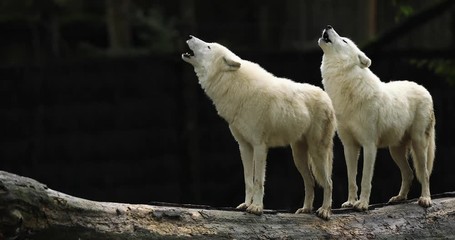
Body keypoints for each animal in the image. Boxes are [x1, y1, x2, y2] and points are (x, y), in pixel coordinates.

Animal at [183, 35, 336, 219]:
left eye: (208, 47)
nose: (190, 36)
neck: (236, 88)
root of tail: (327, 98)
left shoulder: (259, 146)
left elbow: (258, 181)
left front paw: (256, 208)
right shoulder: (244, 146)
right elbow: (248, 179)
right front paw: (246, 205)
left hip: (317, 152)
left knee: (328, 182)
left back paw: (325, 211)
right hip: (298, 156)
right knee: (310, 181)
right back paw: (306, 209)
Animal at [318, 25, 436, 211]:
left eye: (344, 40)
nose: (328, 26)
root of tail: (425, 89)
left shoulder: (369, 145)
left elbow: (365, 179)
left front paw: (362, 204)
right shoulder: (349, 146)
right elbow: (352, 179)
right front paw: (350, 202)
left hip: (419, 144)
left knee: (423, 173)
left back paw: (425, 199)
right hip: (395, 151)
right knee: (409, 173)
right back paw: (399, 198)